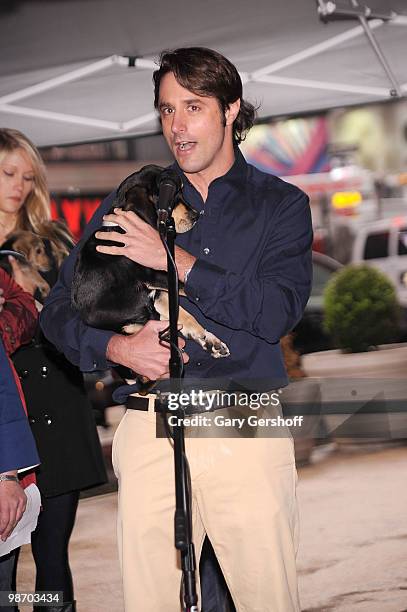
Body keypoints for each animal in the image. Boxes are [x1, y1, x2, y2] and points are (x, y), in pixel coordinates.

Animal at [72, 163, 231, 370]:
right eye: (174, 195)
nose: (196, 215)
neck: (120, 227)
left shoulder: (160, 293)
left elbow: (185, 314)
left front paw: (207, 339)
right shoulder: (156, 276)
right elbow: (184, 287)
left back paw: (210, 342)